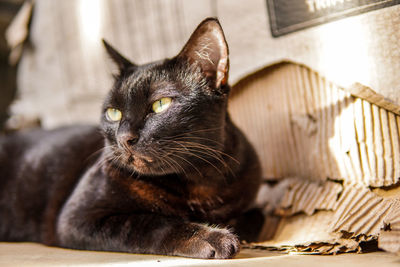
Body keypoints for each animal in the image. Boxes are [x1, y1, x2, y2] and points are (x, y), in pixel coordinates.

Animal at [0, 18, 262, 260]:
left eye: (160, 104)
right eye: (113, 113)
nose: (124, 137)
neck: (197, 179)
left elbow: (255, 217)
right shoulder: (78, 217)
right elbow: (151, 222)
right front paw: (211, 236)